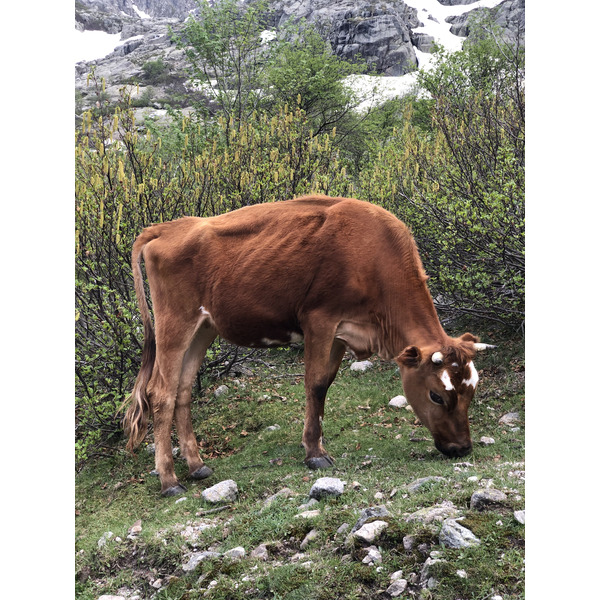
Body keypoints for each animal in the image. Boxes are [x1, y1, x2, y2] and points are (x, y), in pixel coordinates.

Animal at [120, 195, 492, 494]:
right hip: (175, 323)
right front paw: (315, 453)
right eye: (436, 395)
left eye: (471, 391)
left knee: (182, 389)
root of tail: (166, 228)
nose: (462, 447)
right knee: (160, 393)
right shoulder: (319, 320)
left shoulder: (343, 331)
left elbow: (325, 384)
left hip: (203, 328)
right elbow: (313, 384)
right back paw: (169, 480)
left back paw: (197, 466)